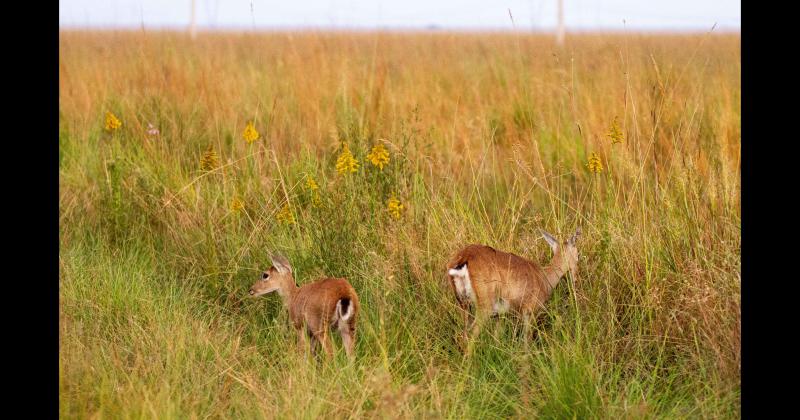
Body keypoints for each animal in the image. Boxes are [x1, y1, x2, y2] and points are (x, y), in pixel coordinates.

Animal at [444, 228, 580, 340]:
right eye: (578, 254)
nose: (575, 277)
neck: (544, 277)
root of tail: (464, 257)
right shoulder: (528, 312)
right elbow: (526, 340)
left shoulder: (500, 316)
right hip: (483, 308)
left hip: (464, 305)